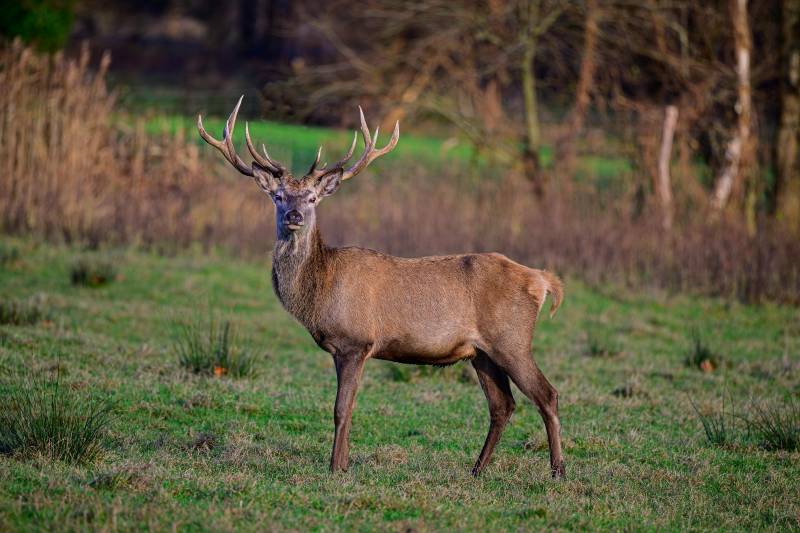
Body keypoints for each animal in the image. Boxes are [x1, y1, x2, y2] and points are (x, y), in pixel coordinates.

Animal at [197, 96, 566, 478]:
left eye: (312, 198)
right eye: (279, 196)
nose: (294, 216)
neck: (320, 292)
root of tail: (543, 281)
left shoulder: (355, 341)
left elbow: (341, 409)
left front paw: (335, 467)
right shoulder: (343, 349)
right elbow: (348, 407)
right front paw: (344, 464)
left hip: (512, 339)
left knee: (547, 394)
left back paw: (558, 471)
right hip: (481, 353)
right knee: (503, 405)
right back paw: (477, 470)